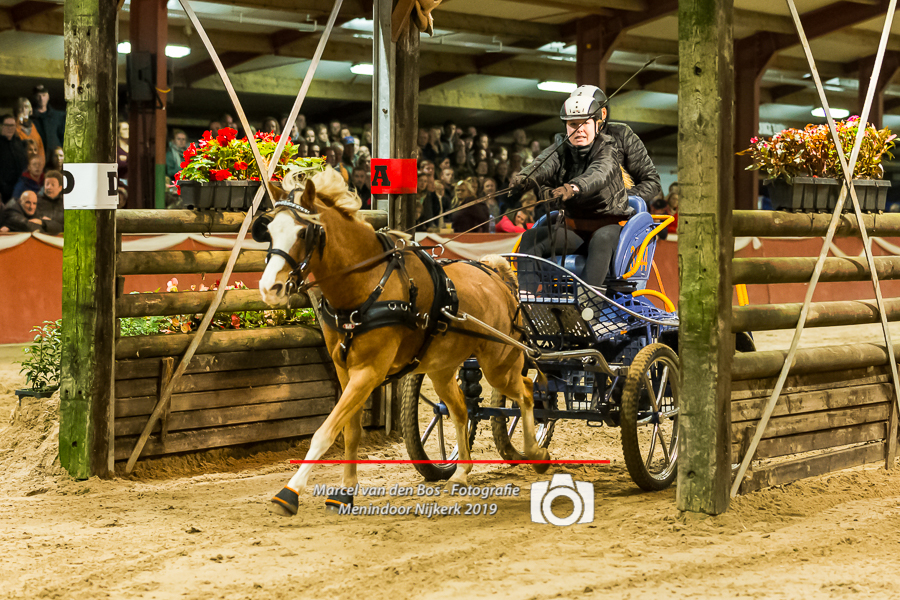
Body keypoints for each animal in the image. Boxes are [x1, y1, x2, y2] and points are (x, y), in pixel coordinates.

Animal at [253, 168, 548, 516]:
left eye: (303, 233)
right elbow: (350, 431)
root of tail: (496, 275)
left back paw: (537, 454)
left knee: (527, 393)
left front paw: (290, 492)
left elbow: (325, 432)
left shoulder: (369, 371)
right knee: (461, 410)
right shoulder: (345, 370)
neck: (367, 287)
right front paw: (345, 492)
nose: (269, 287)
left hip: (499, 364)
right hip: (442, 369)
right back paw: (460, 472)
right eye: (270, 230)